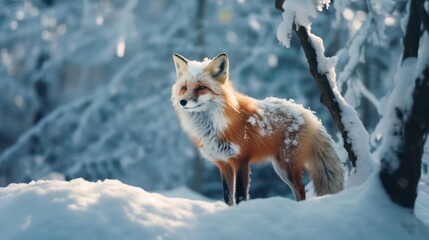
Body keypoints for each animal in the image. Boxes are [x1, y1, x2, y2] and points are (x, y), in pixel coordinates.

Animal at [172, 53, 342, 205]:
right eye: (184, 88)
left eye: (201, 87)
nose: (182, 102)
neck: (215, 127)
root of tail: (306, 112)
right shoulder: (224, 164)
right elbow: (228, 198)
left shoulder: (241, 160)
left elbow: (240, 196)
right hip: (281, 167)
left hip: (286, 166)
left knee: (300, 189)